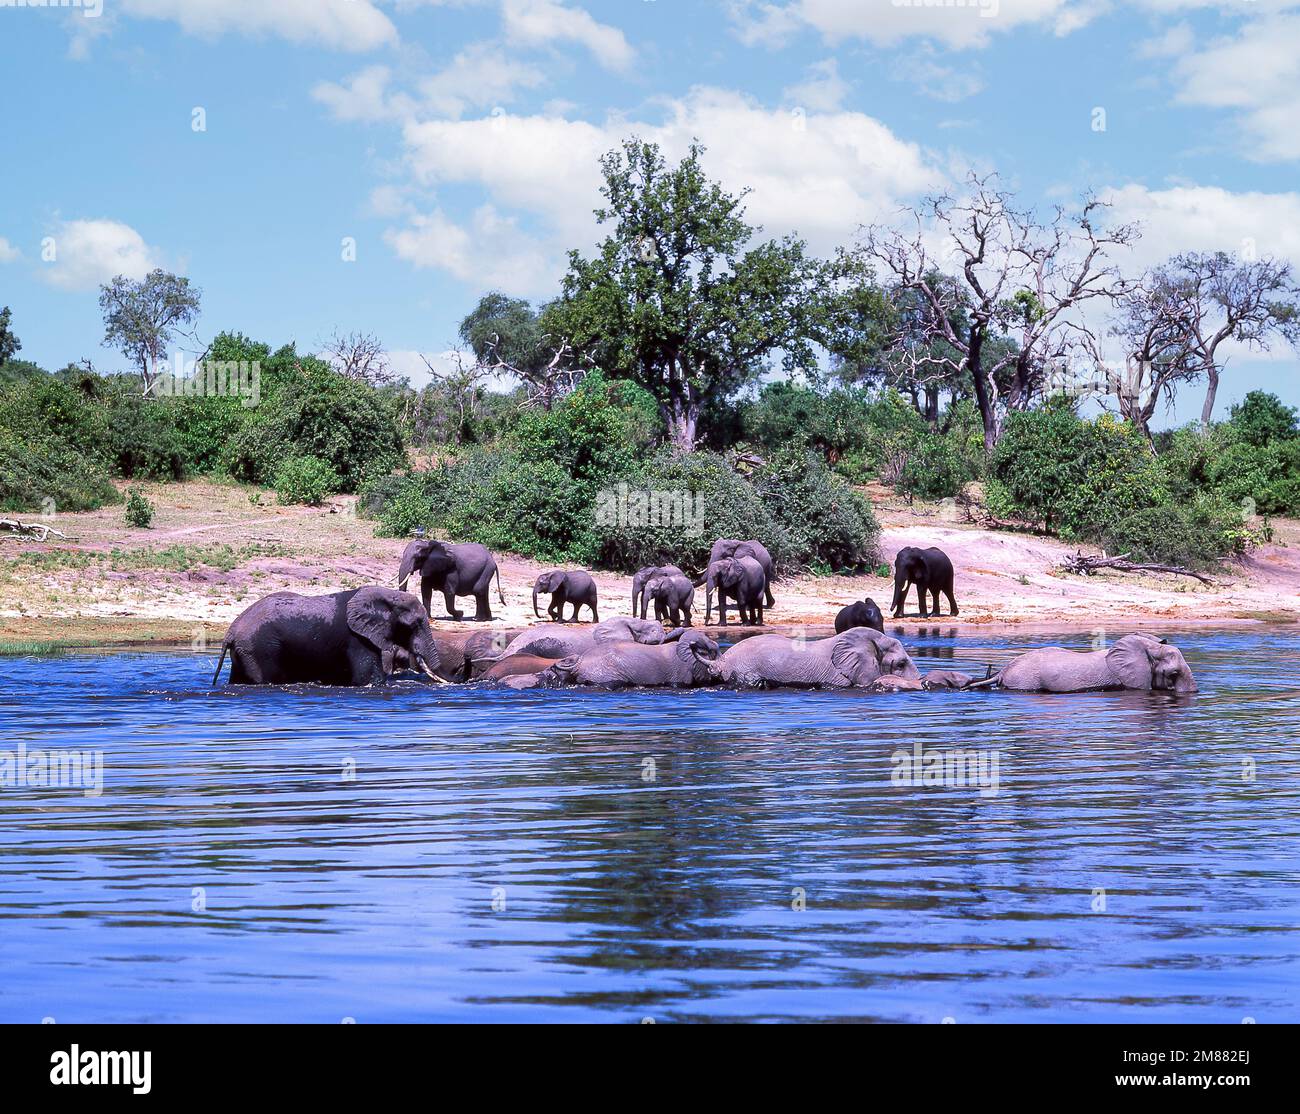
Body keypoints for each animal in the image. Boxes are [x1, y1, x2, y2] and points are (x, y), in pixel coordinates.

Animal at [212, 588, 444, 687]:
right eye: (414, 624)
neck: (387, 596)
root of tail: (231, 631)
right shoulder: (358, 638)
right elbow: (368, 680)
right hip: (259, 648)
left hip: (244, 651)